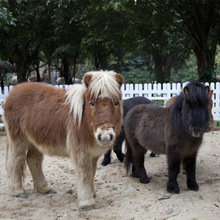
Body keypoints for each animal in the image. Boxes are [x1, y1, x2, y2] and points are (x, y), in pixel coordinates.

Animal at [3, 70, 124, 210]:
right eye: (92, 103)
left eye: (116, 102)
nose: (105, 136)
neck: (84, 120)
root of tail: (13, 91)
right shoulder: (81, 153)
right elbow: (84, 174)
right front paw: (86, 202)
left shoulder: (92, 154)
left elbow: (92, 173)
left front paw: (92, 194)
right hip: (18, 139)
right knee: (15, 160)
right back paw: (18, 191)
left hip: (35, 139)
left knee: (33, 160)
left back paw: (44, 188)